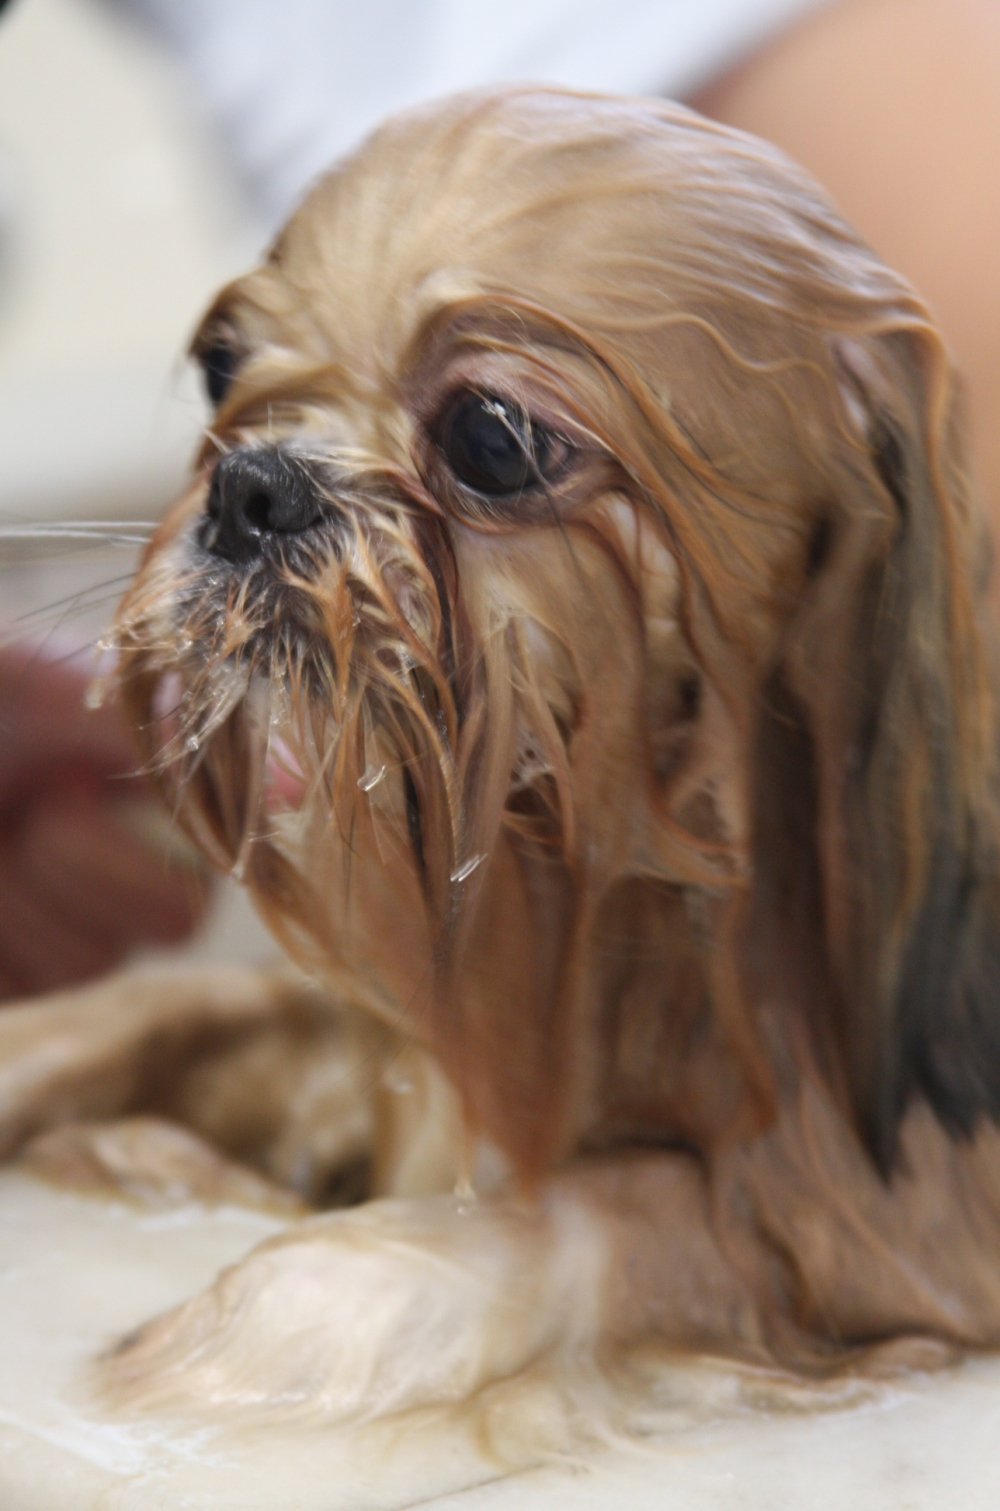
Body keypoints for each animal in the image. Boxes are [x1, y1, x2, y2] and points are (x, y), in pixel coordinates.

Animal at [9, 88, 1000, 1420]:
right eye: (224, 365)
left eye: (492, 438)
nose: (252, 486)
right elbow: (165, 1006)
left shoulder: (911, 1224)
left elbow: (630, 1202)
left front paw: (279, 1308)